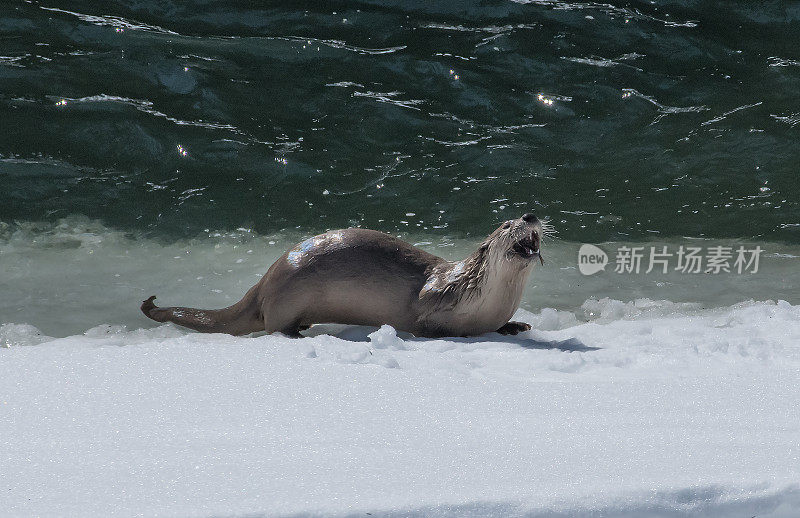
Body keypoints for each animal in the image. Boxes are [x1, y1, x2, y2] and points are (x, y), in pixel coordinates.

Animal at [141, 213, 548, 340]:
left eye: (525, 215)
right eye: (506, 224)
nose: (529, 215)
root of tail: (263, 283)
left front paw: (515, 326)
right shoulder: (433, 298)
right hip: (288, 296)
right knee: (274, 325)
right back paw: (296, 332)